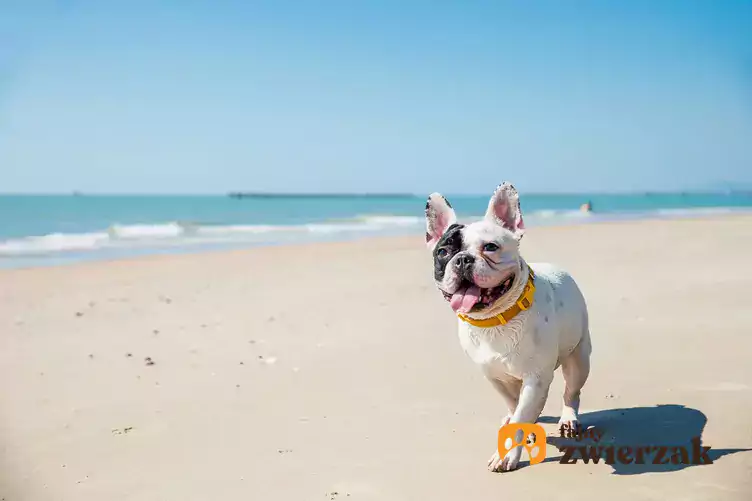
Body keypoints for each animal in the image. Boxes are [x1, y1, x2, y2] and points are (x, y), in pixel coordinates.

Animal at [424, 182, 592, 470]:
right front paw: (517, 424)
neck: (495, 320)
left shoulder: (536, 379)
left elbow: (521, 416)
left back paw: (569, 418)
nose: (463, 259)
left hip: (579, 358)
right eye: (443, 252)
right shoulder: (495, 377)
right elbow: (516, 410)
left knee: (572, 391)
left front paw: (507, 454)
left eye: (490, 247)